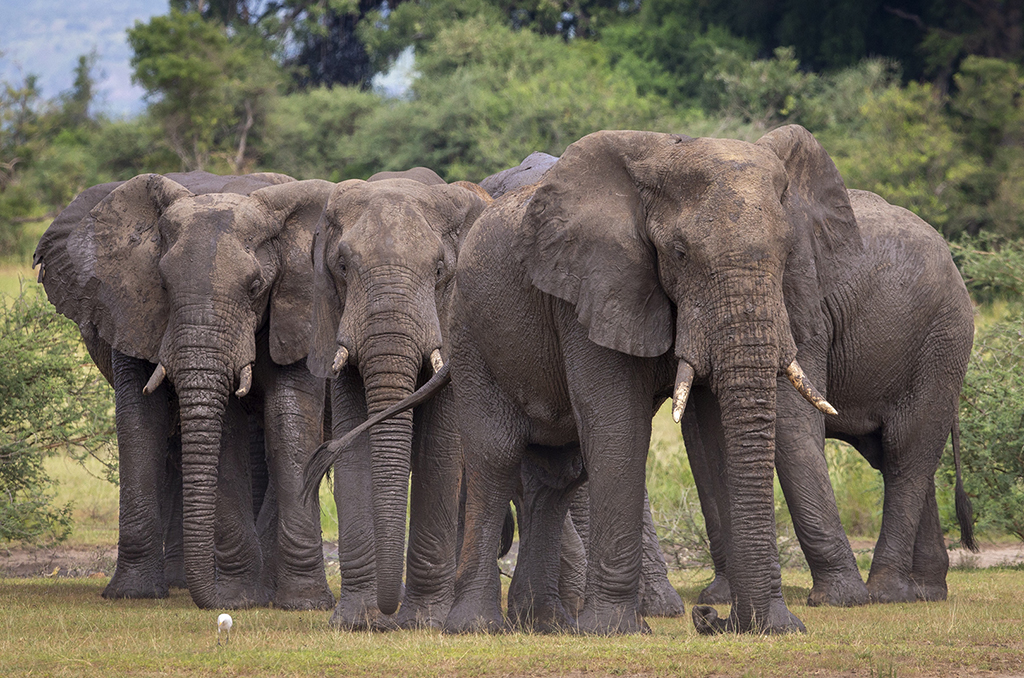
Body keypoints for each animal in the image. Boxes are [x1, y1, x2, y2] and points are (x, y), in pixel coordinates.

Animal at [32, 171, 333, 610]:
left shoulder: (299, 305)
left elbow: (289, 421)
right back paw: (179, 584)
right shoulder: (129, 306)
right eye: (162, 284)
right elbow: (149, 423)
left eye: (256, 286)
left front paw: (300, 604)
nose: (223, 606)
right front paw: (141, 595)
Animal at [301, 166, 489, 630]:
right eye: (343, 267)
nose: (387, 615)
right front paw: (354, 621)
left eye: (440, 270)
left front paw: (424, 622)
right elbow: (355, 443)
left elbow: (440, 448)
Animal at [432, 123, 856, 639]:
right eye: (680, 254)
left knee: (555, 476)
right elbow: (619, 427)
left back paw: (546, 623)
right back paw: (475, 627)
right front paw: (614, 631)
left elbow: (715, 436)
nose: (708, 617)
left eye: (788, 253)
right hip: (470, 333)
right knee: (496, 455)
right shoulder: (592, 287)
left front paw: (771, 626)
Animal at [688, 187, 974, 614]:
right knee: (895, 453)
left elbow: (791, 420)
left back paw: (886, 594)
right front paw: (718, 598)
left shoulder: (799, 304)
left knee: (906, 449)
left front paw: (836, 600)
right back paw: (924, 592)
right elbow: (703, 439)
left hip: (943, 336)